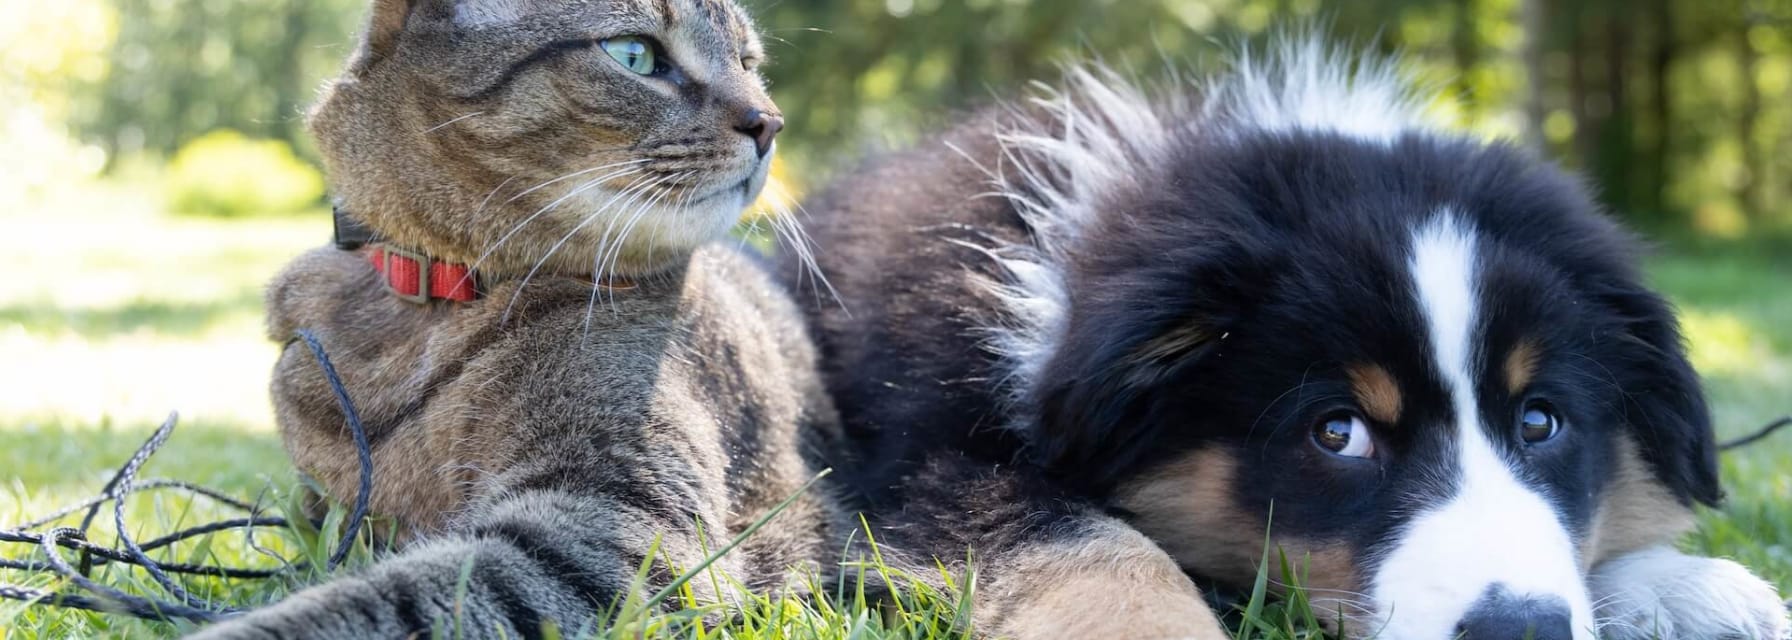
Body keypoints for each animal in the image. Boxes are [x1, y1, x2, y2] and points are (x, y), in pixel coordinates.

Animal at [788, 38, 1792, 638]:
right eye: (1336, 432)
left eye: (1541, 421)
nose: (1520, 629)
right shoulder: (918, 459)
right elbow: (1083, 537)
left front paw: (1693, 588)